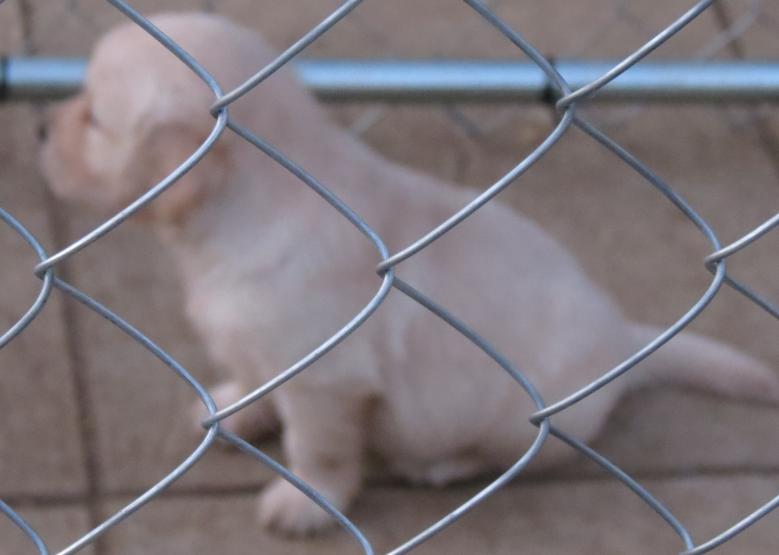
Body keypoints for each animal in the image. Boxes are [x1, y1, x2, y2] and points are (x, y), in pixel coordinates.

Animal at [42, 11, 779, 536]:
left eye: (96, 118)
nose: (41, 129)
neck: (235, 215)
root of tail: (626, 338)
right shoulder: (262, 348)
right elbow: (253, 382)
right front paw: (236, 411)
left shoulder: (326, 380)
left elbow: (317, 450)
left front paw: (306, 505)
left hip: (522, 422)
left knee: (511, 453)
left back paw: (441, 464)